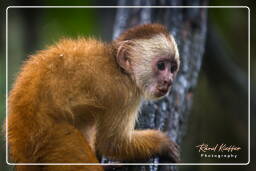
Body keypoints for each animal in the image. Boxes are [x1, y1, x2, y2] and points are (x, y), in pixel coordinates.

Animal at [7, 23, 181, 171]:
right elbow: (113, 143)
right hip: (51, 137)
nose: (169, 81)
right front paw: (161, 143)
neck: (119, 68)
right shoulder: (123, 93)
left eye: (172, 68)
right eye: (161, 66)